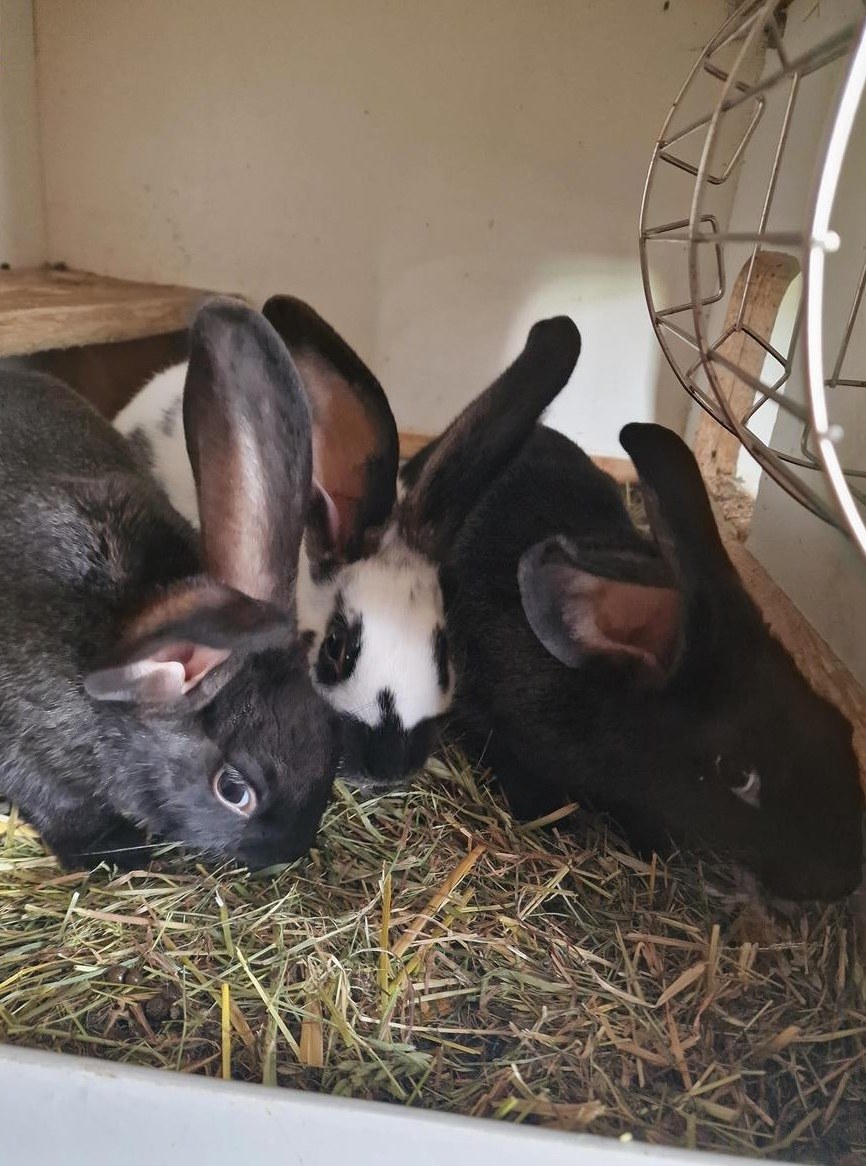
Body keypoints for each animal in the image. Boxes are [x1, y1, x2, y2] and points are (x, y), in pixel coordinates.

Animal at [0, 298, 341, 871]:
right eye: (233, 789)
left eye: (329, 734)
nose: (289, 849)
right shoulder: (28, 755)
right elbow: (60, 805)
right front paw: (116, 852)